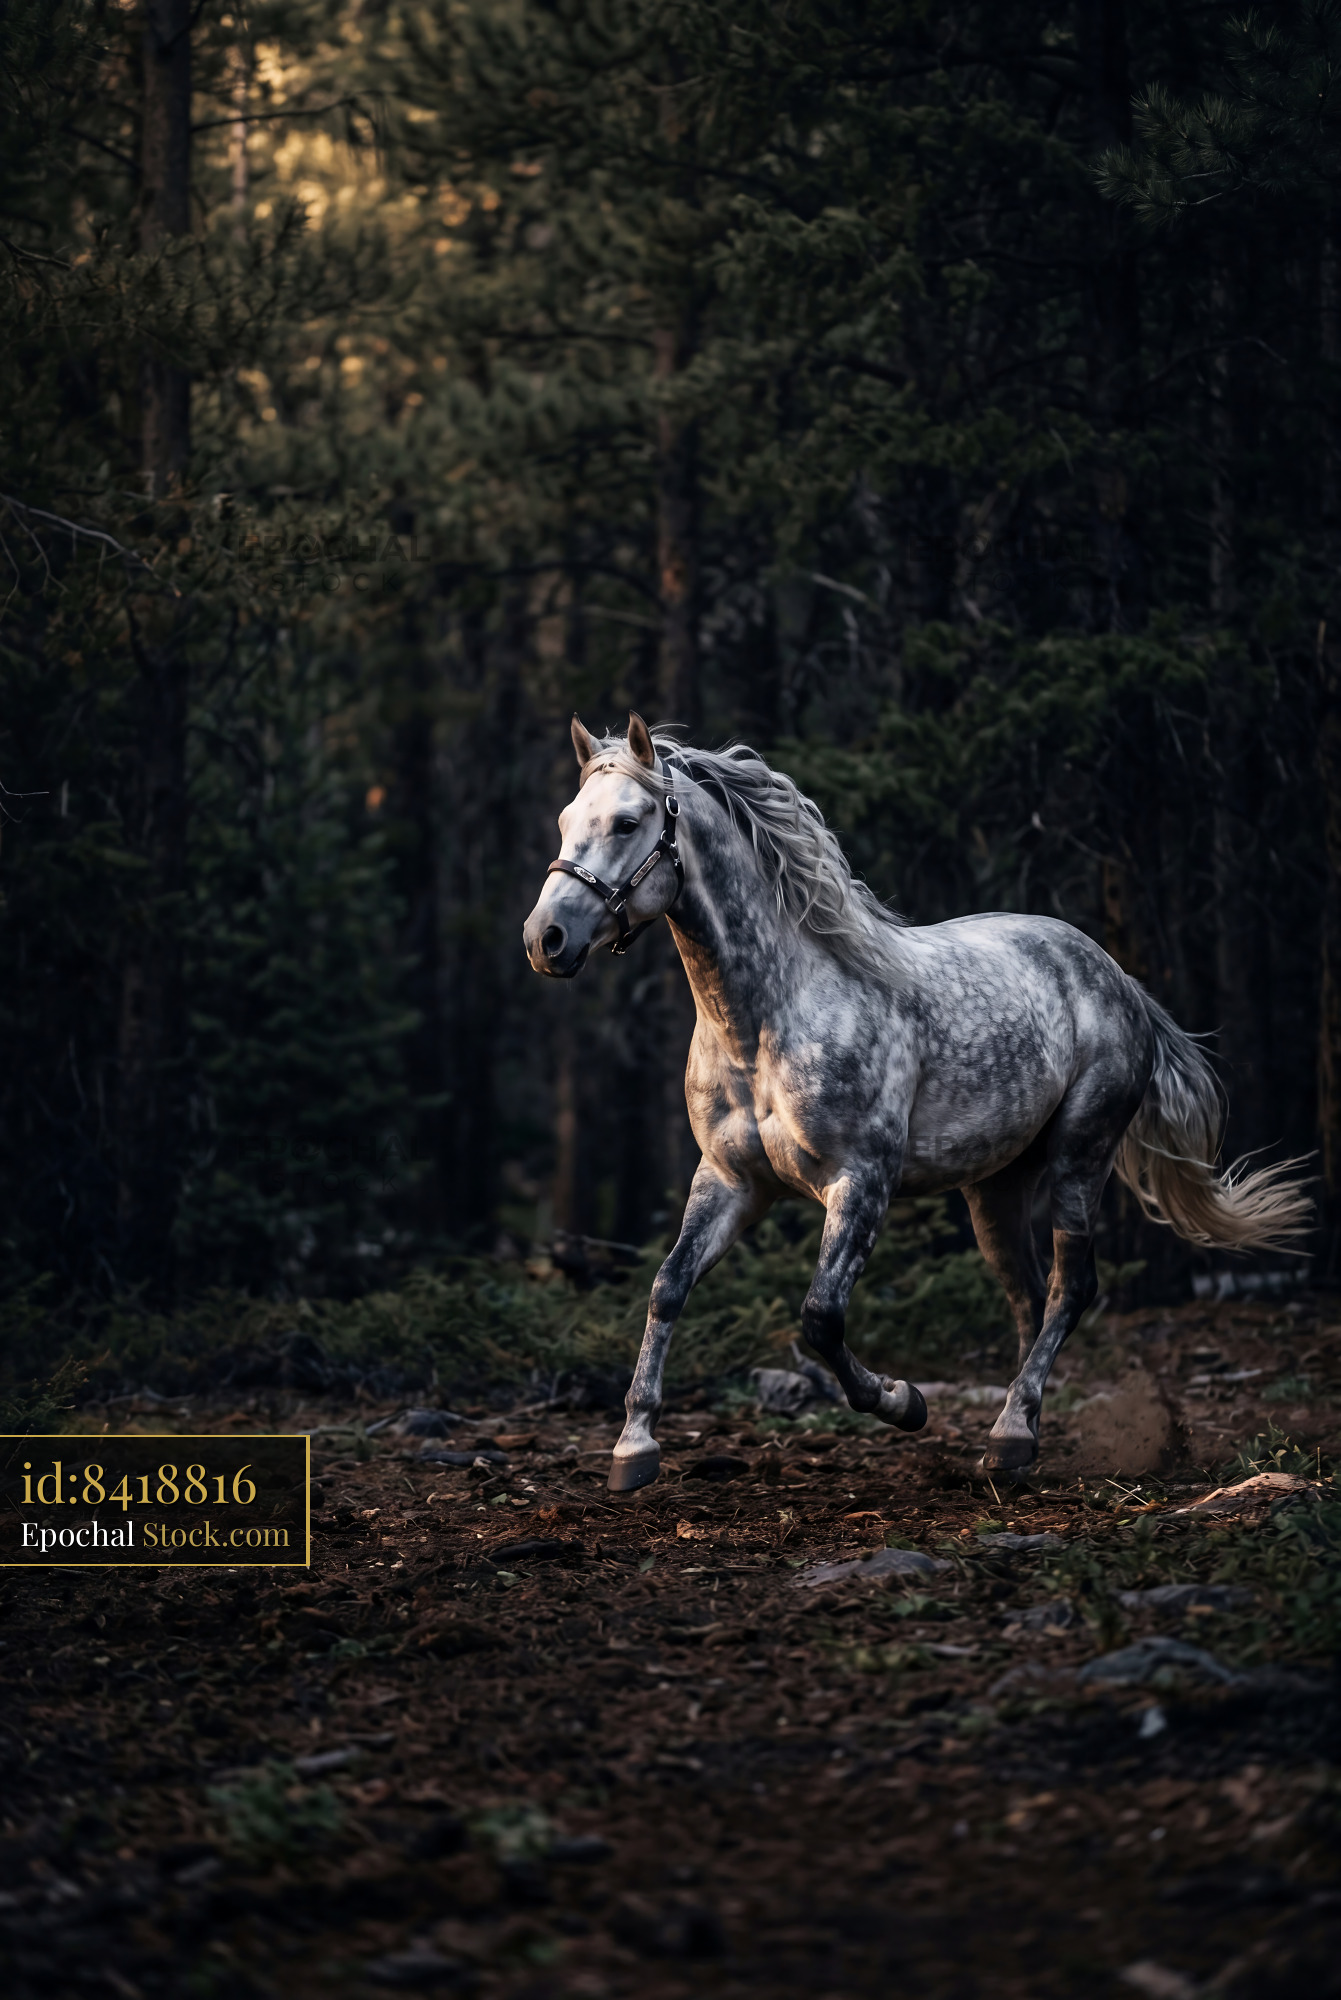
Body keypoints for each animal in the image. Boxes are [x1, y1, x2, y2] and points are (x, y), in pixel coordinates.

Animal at [523, 713, 1311, 1493]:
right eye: (563, 819)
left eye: (628, 822)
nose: (544, 939)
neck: (762, 1025)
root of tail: (1118, 979)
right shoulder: (730, 1182)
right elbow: (667, 1287)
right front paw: (633, 1446)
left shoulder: (861, 1183)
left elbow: (820, 1317)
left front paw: (903, 1402)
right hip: (996, 1187)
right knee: (1027, 1297)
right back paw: (1017, 1433)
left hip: (1079, 1157)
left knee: (1070, 1287)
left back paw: (1011, 1432)